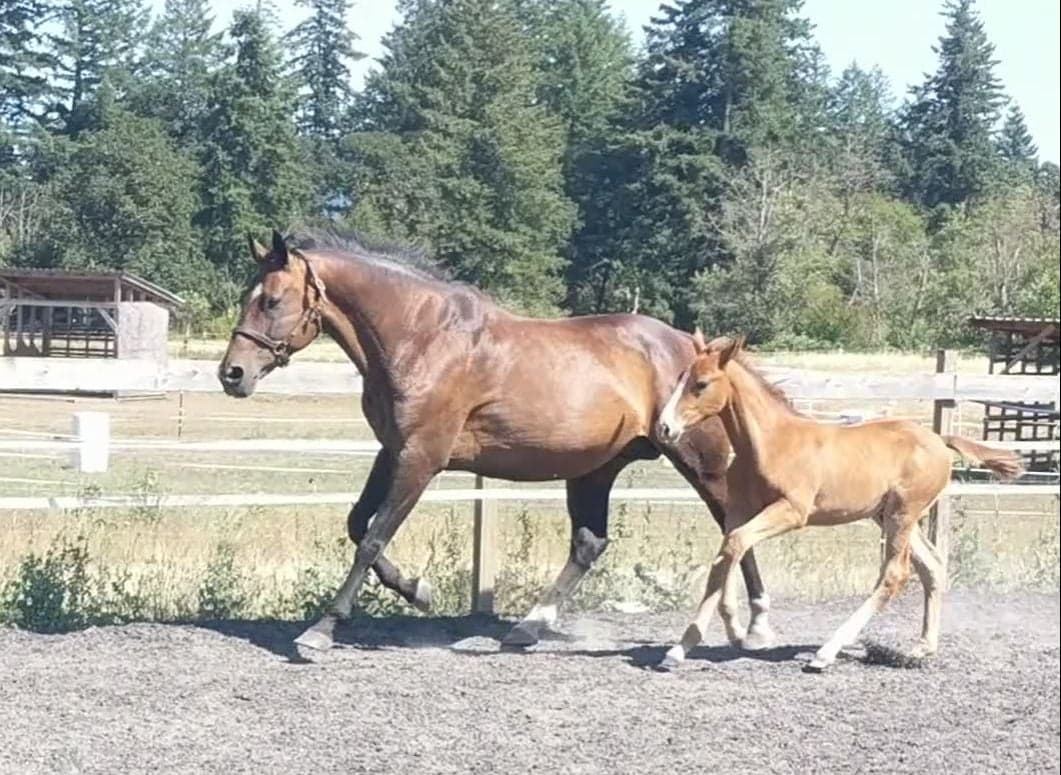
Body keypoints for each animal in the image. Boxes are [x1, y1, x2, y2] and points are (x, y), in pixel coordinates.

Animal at [217, 229, 777, 652]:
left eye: (271, 300)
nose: (232, 374)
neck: (422, 338)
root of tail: (698, 353)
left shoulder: (421, 457)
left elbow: (374, 535)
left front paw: (323, 628)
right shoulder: (392, 451)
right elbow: (357, 525)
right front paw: (418, 591)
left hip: (698, 460)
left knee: (735, 527)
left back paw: (755, 626)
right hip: (595, 468)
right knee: (589, 543)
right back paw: (526, 628)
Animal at [655, 332, 1023, 672]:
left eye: (701, 384)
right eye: (680, 378)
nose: (664, 428)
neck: (769, 443)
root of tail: (940, 440)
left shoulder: (792, 511)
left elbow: (735, 545)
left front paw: (735, 632)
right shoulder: (738, 511)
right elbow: (726, 555)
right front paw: (683, 647)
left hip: (903, 514)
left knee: (894, 574)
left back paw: (827, 652)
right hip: (890, 516)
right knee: (931, 565)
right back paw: (922, 648)